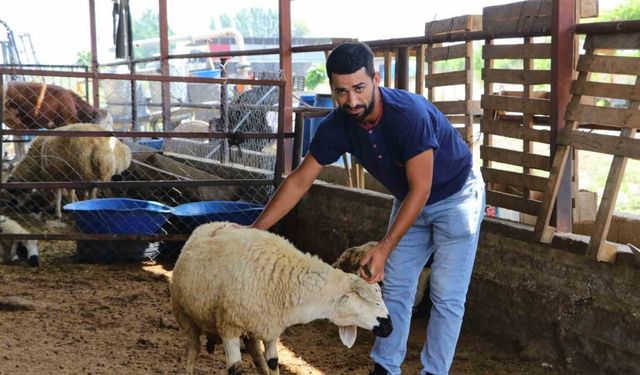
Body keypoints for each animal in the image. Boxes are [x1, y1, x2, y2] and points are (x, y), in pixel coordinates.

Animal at [169, 223, 390, 375]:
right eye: (373, 300)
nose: (390, 328)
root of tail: (207, 225)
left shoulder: (271, 328)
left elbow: (273, 363)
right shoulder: (229, 325)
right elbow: (235, 368)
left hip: (253, 327)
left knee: (255, 353)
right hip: (184, 315)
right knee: (192, 350)